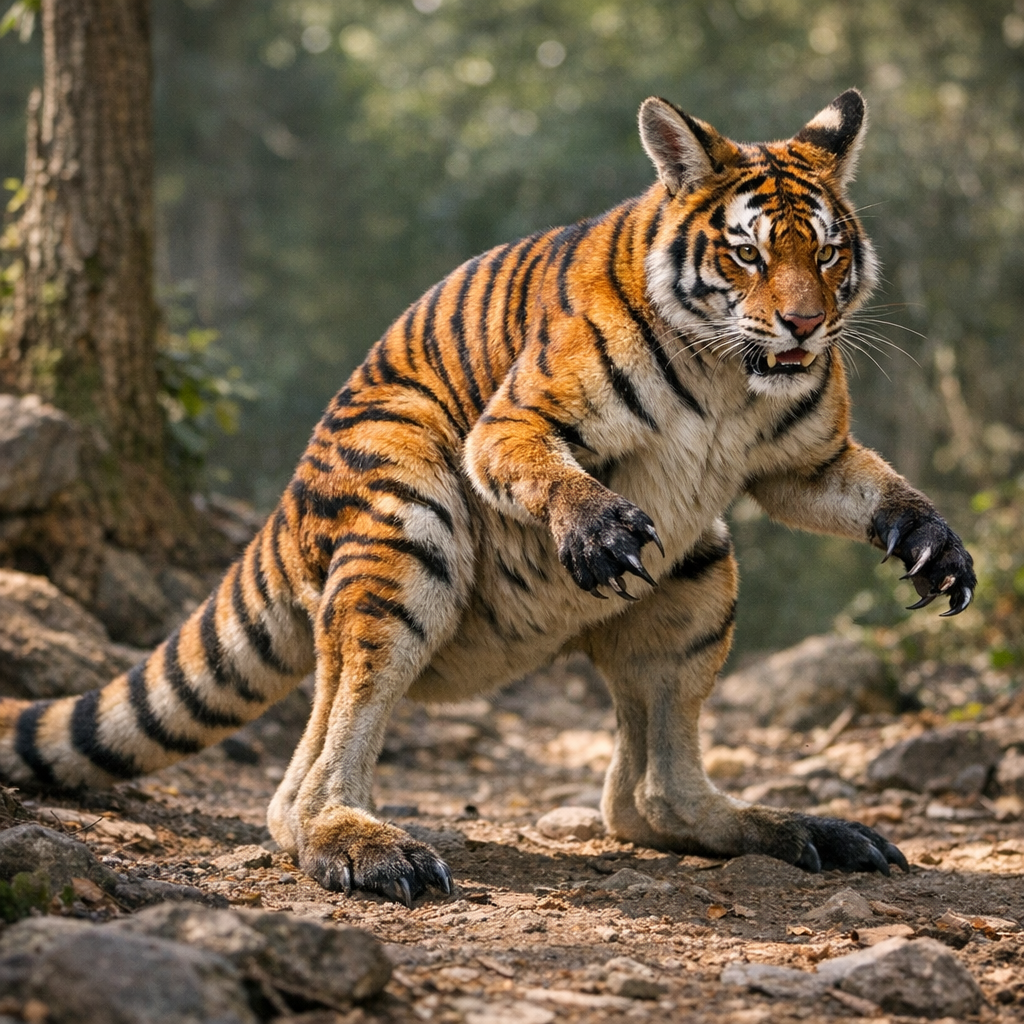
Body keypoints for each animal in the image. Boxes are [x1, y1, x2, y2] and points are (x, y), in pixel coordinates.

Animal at [0, 90, 975, 906]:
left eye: (828, 251)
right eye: (748, 252)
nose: (806, 324)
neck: (730, 378)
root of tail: (282, 503)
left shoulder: (807, 462)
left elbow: (875, 487)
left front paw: (937, 547)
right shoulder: (513, 421)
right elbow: (548, 471)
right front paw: (596, 529)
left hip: (700, 570)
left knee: (649, 798)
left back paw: (801, 831)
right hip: (406, 520)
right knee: (304, 776)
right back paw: (365, 848)